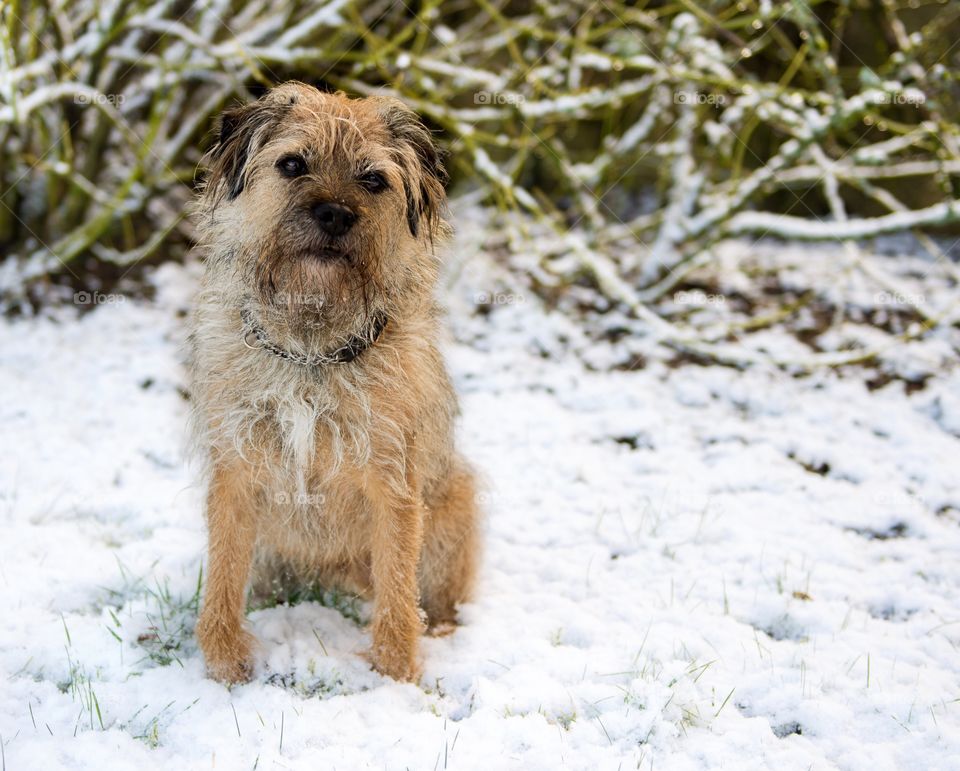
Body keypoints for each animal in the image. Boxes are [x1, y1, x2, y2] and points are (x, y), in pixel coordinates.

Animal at [189, 83, 480, 680]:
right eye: (292, 164)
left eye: (373, 179)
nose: (335, 215)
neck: (311, 351)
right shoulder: (235, 472)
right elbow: (224, 575)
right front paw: (225, 665)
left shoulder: (393, 484)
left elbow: (398, 590)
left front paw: (396, 676)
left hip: (457, 500)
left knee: (434, 596)